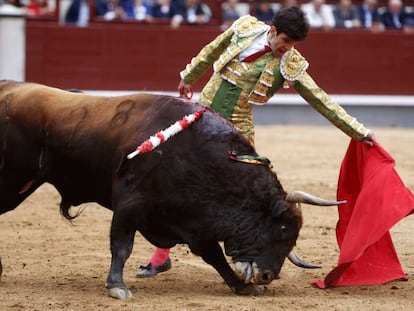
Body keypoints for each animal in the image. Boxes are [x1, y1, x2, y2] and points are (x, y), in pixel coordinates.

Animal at [0, 81, 342, 300]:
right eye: (283, 230)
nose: (269, 276)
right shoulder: (130, 203)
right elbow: (121, 246)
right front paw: (117, 287)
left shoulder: (193, 221)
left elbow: (215, 256)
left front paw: (242, 286)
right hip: (11, 181)